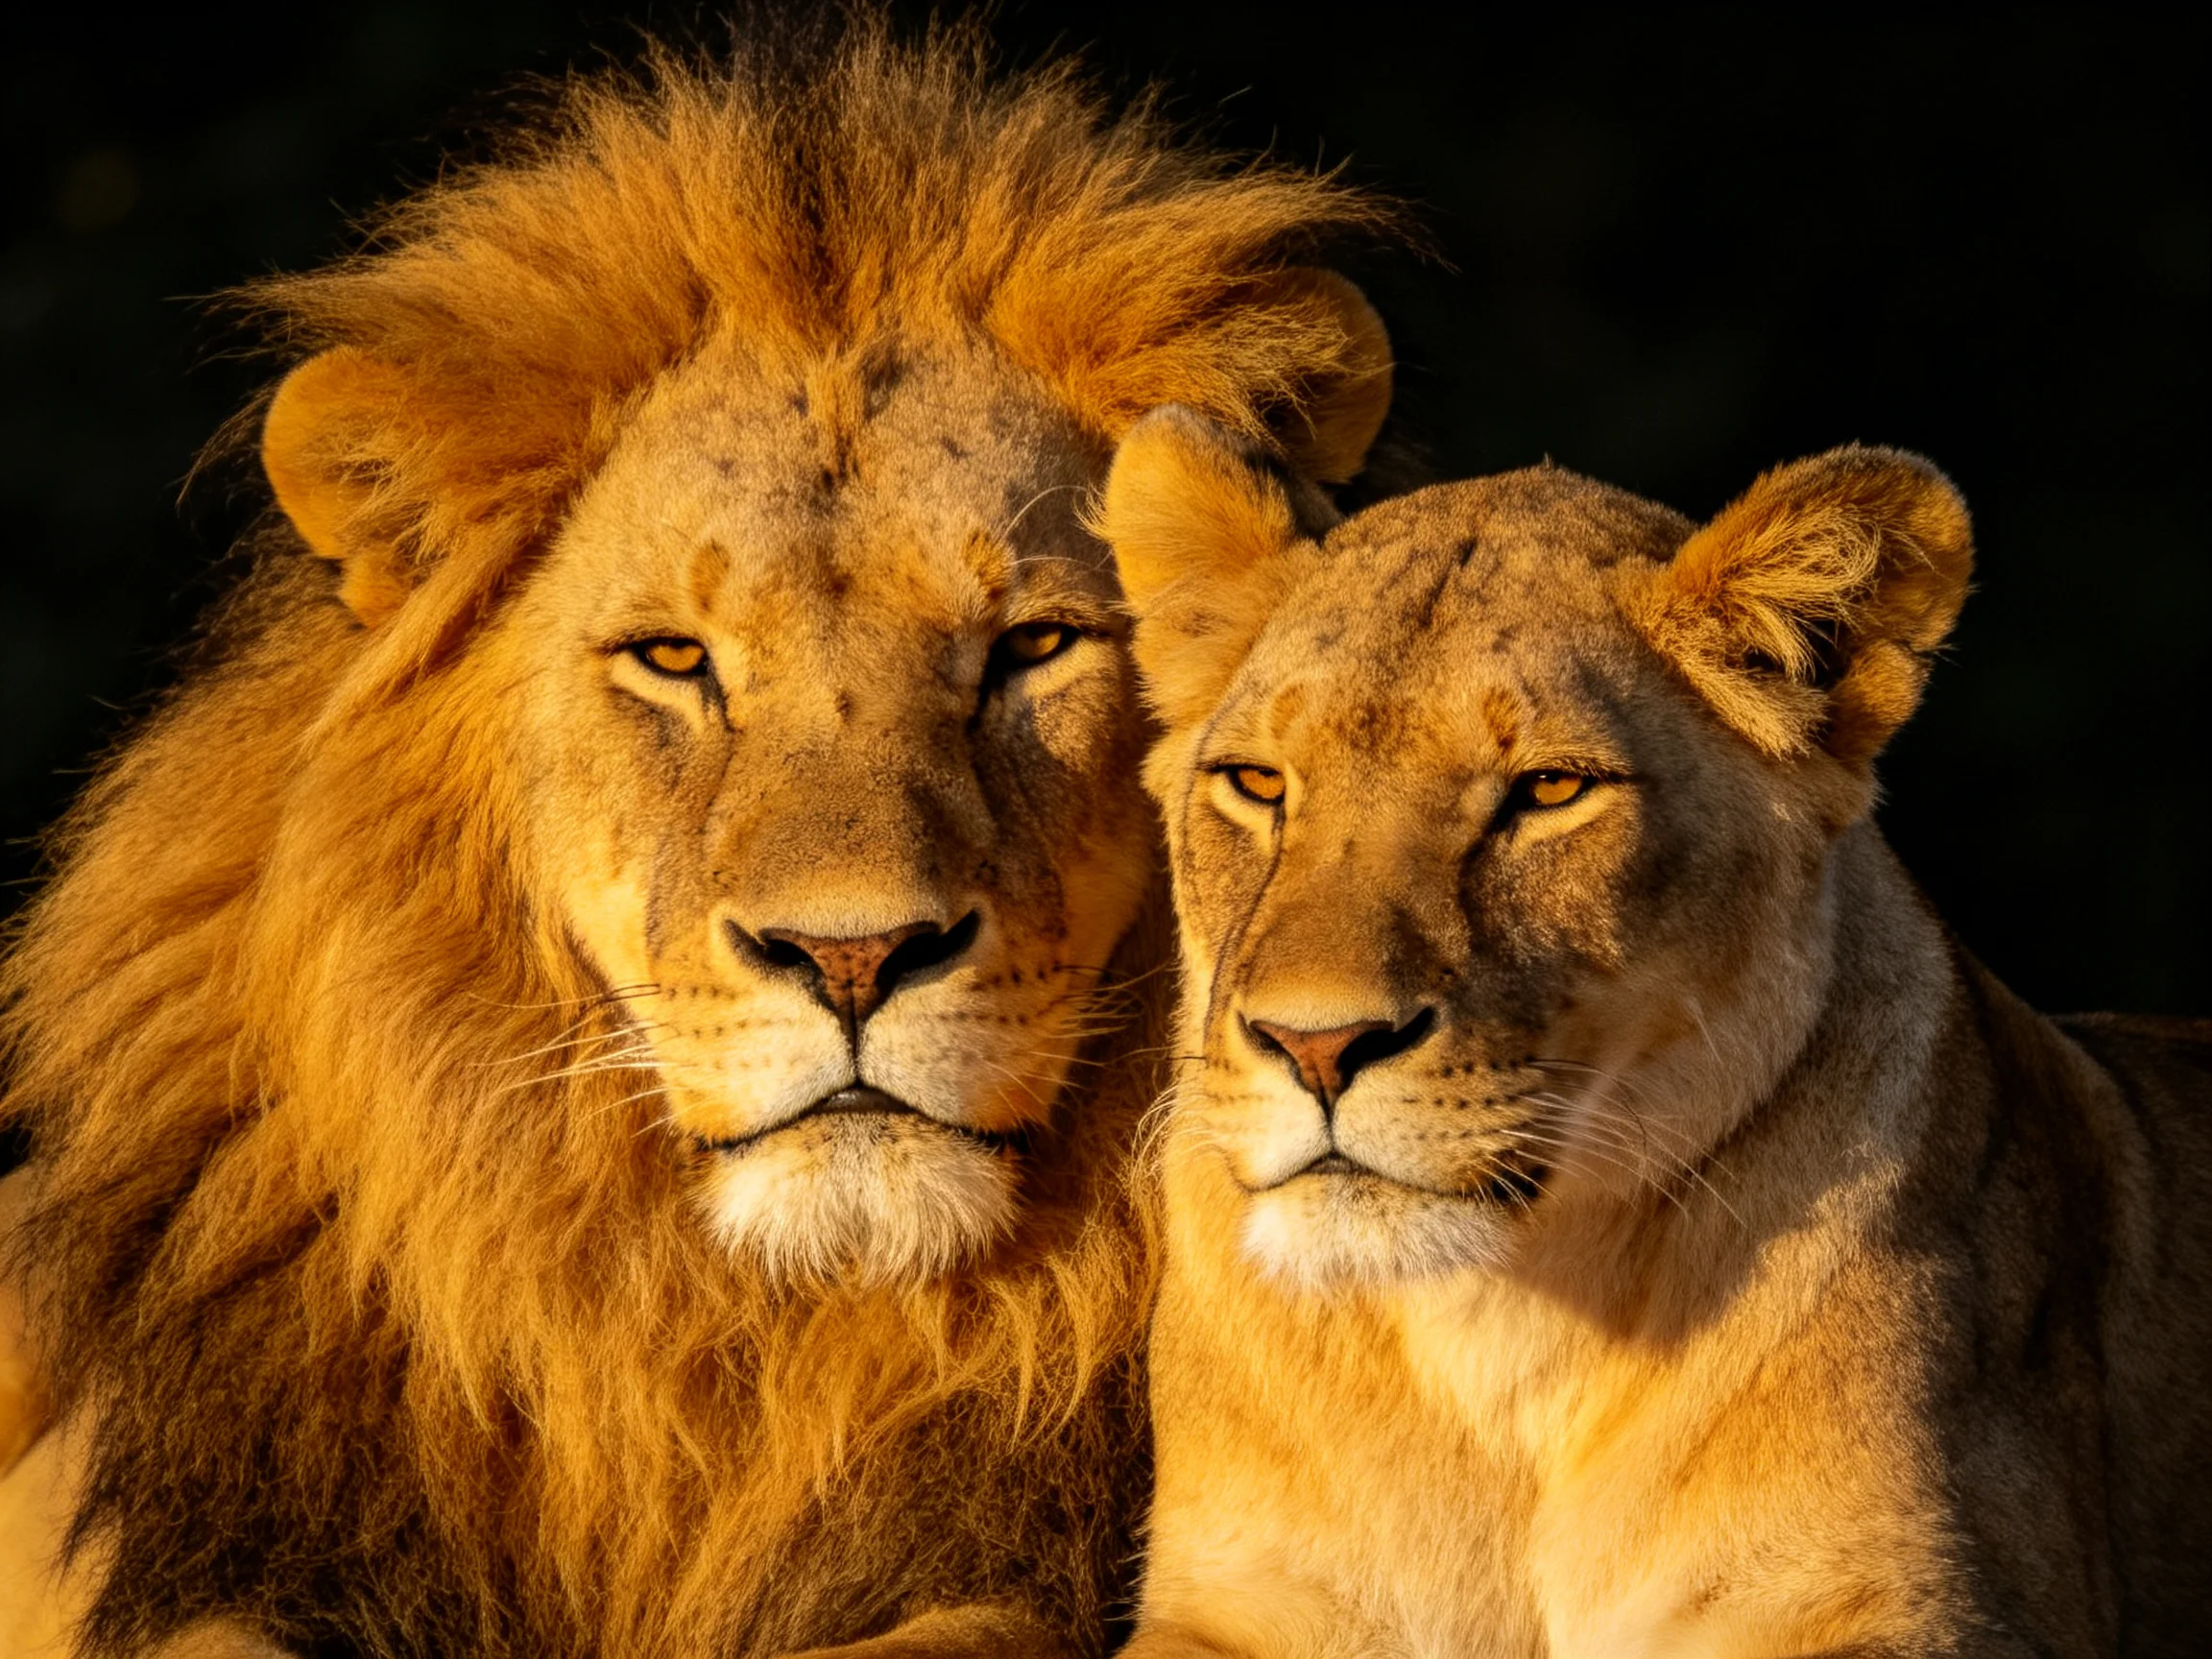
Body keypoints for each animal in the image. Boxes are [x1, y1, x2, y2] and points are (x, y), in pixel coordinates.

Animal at [1093, 408, 2212, 1656]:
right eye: (1255, 782)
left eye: (1549, 791)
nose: (1316, 1047)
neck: (1499, 1340)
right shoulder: (1235, 1599)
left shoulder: (1914, 1603)